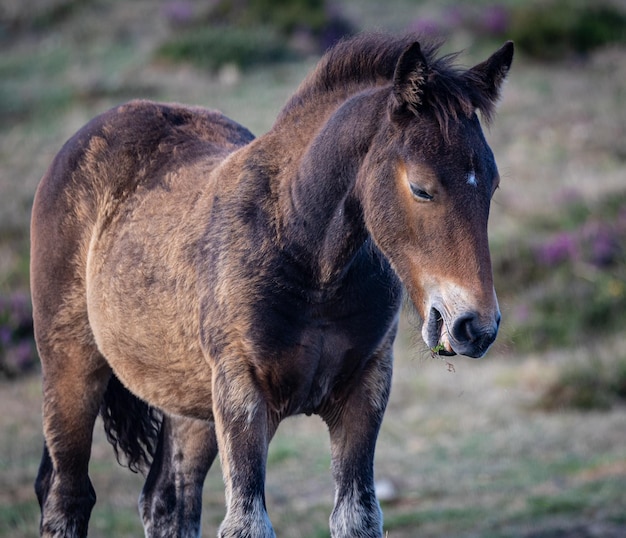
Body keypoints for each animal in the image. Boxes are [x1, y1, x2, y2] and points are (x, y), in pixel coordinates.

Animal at [30, 33, 512, 536]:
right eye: (420, 188)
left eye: (492, 185)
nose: (475, 326)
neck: (308, 258)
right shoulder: (242, 393)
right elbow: (247, 521)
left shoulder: (365, 388)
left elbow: (356, 516)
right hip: (71, 366)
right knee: (67, 495)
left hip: (191, 408)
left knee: (166, 501)